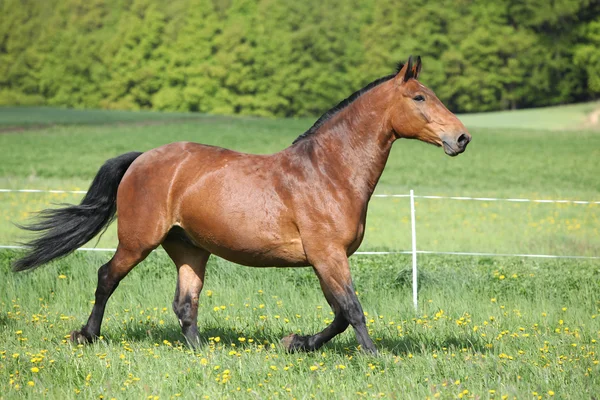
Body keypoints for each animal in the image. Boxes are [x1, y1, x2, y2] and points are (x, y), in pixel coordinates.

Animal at [14, 57, 472, 354]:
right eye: (419, 98)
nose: (462, 138)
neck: (329, 172)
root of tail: (143, 158)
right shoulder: (328, 255)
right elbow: (352, 310)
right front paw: (374, 356)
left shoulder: (326, 258)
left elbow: (340, 314)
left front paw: (296, 343)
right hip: (137, 241)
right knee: (106, 277)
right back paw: (86, 335)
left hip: (189, 248)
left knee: (185, 303)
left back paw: (203, 353)